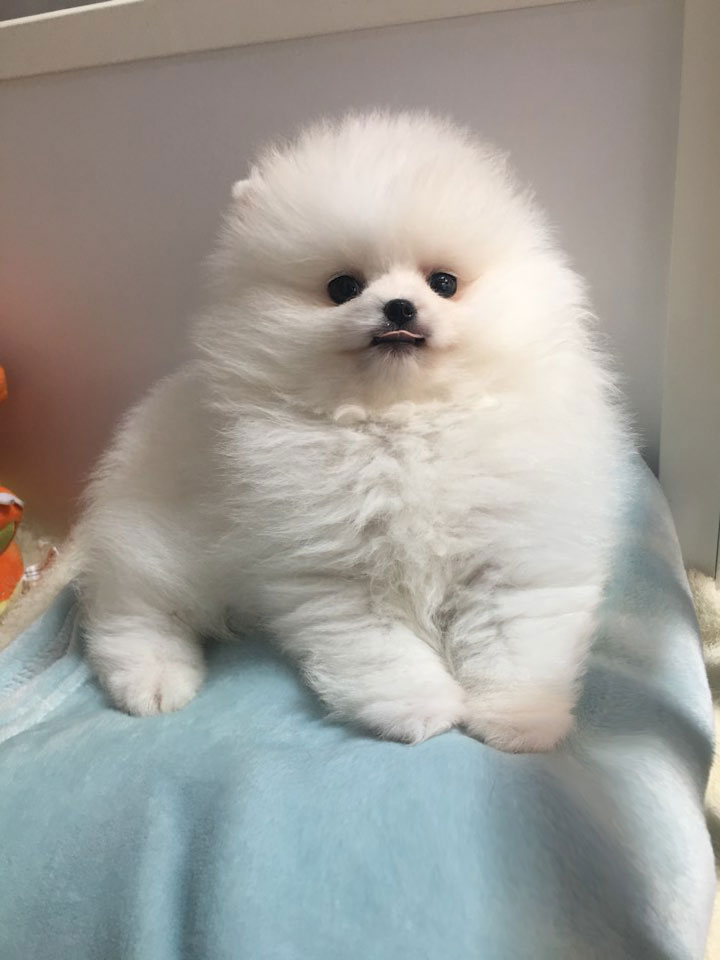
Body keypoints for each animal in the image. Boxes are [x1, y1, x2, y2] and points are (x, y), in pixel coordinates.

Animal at [78, 112, 630, 752]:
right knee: (129, 609)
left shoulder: (515, 554)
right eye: (343, 287)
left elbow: (516, 643)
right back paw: (153, 682)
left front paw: (519, 720)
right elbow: (380, 651)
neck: (401, 423)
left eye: (444, 282)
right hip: (160, 545)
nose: (398, 307)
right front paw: (417, 709)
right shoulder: (337, 574)